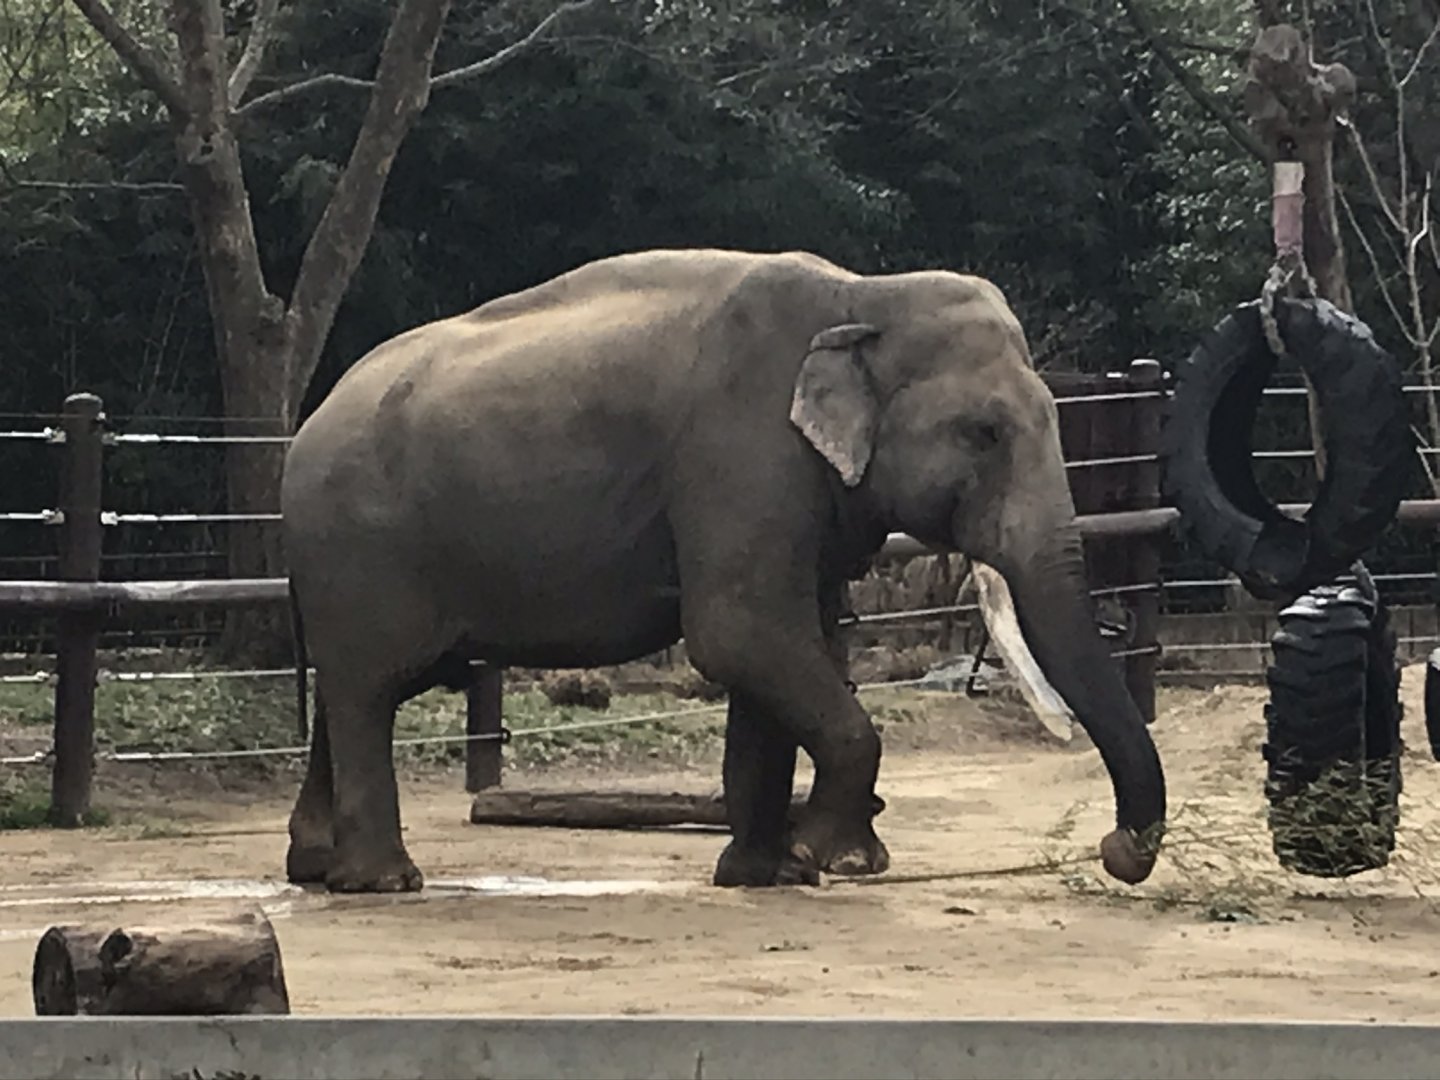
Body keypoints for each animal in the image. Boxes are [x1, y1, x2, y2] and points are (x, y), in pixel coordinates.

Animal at [281, 247, 1168, 893]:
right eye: (985, 433)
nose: (1117, 848)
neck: (864, 293)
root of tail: (304, 428)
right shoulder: (742, 456)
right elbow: (739, 634)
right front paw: (833, 862)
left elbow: (785, 649)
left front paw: (763, 873)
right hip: (360, 545)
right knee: (368, 690)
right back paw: (386, 883)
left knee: (350, 689)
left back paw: (317, 869)